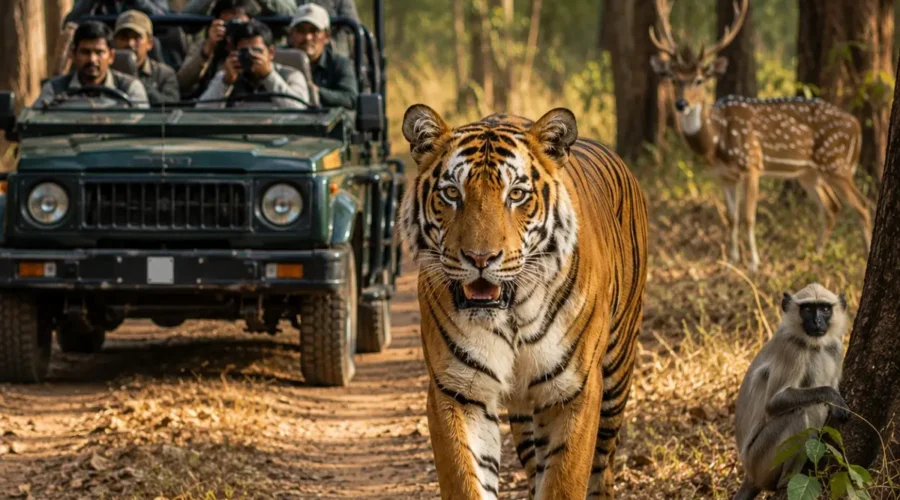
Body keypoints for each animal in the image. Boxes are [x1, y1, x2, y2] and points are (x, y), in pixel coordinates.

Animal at [399, 104, 649, 499]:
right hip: (525, 413)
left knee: (602, 466)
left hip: (616, 374)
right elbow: (466, 479)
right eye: (452, 193)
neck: (511, 313)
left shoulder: (573, 391)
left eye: (516, 194)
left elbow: (565, 481)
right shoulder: (458, 391)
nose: (480, 258)